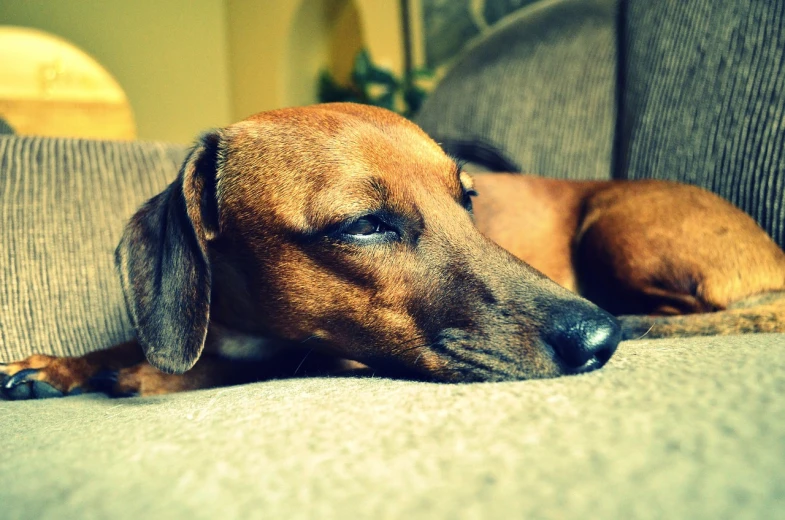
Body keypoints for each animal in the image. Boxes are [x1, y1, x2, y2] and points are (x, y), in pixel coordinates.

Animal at [1, 104, 784, 398]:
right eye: (362, 224)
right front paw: (61, 364)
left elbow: (231, 367)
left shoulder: (326, 353)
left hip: (617, 232)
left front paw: (138, 374)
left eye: (467, 198)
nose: (599, 340)